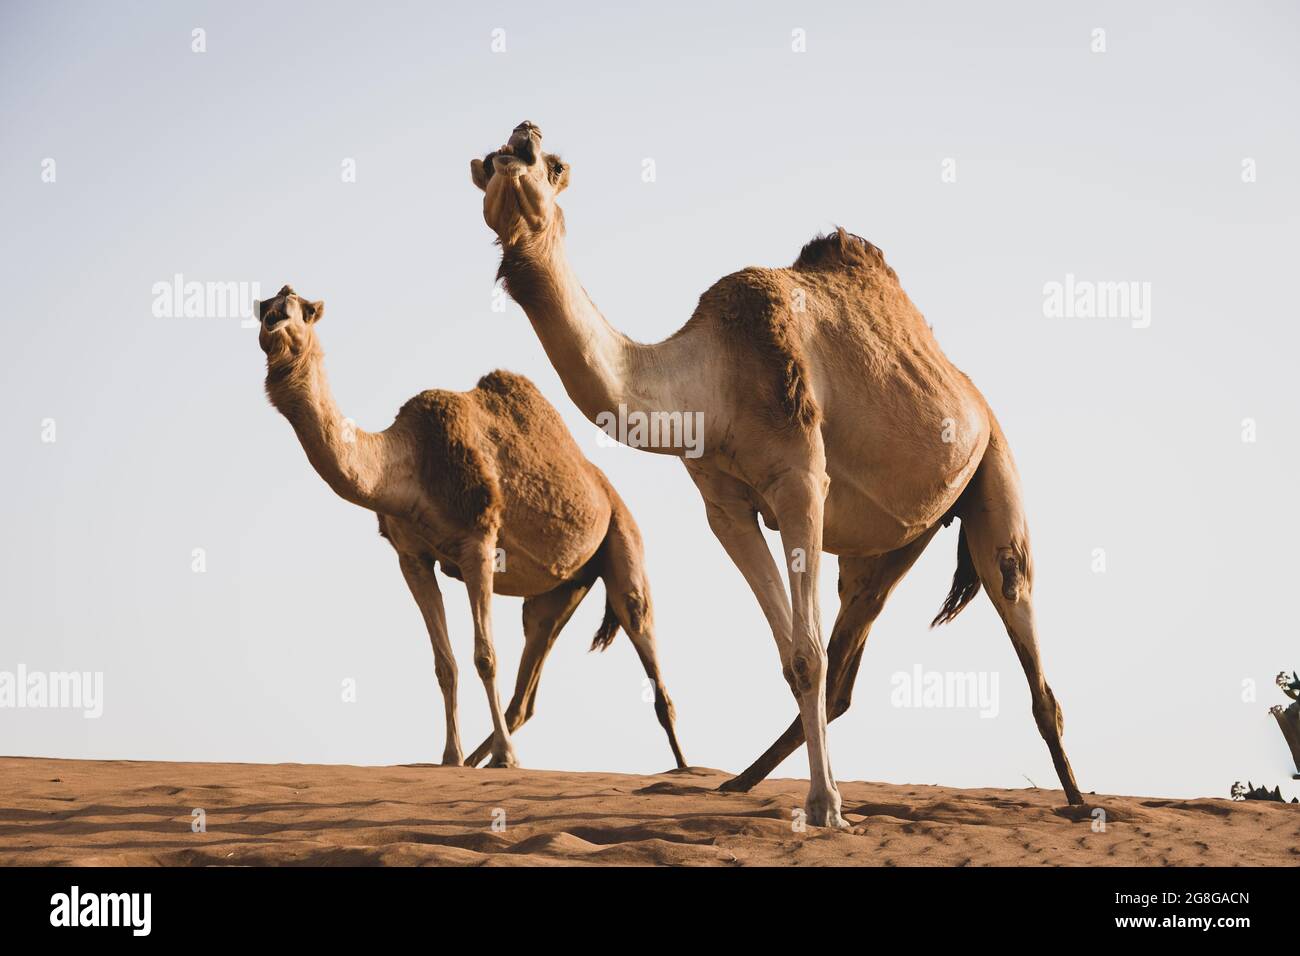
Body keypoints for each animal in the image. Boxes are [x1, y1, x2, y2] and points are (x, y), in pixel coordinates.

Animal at [248, 283, 686, 770]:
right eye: (264, 308)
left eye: (302, 310)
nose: (274, 322)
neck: (408, 465)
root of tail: (607, 490)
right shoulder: (412, 557)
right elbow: (446, 664)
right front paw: (451, 758)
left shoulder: (478, 542)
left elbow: (485, 657)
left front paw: (503, 757)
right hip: (561, 590)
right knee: (527, 686)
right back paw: (489, 755)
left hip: (623, 537)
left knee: (646, 644)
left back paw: (686, 768)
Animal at [473, 121, 1081, 832]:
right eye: (490, 163)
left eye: (546, 162)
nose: (517, 143)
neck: (709, 379)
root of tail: (973, 394)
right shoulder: (725, 505)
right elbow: (795, 655)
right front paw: (821, 800)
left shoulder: (800, 481)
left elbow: (806, 652)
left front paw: (827, 808)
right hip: (892, 544)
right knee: (850, 653)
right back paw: (737, 781)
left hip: (994, 465)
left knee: (1016, 599)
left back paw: (1079, 802)